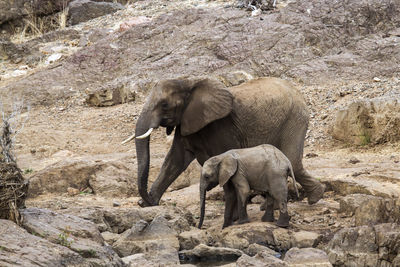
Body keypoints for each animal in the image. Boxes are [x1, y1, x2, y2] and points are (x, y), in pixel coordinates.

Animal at [132, 77, 324, 207]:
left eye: (164, 105)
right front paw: (148, 204)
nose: (144, 199)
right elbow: (175, 160)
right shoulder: (187, 122)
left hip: (295, 118)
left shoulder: (222, 126)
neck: (188, 82)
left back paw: (315, 198)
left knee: (293, 161)